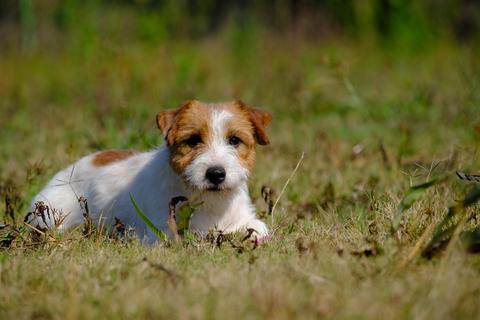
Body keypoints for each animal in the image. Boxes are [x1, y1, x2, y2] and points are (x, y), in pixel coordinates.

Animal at [28, 100, 272, 242]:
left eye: (234, 140)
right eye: (193, 140)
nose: (216, 174)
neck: (209, 201)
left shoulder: (244, 220)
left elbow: (257, 228)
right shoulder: (162, 231)